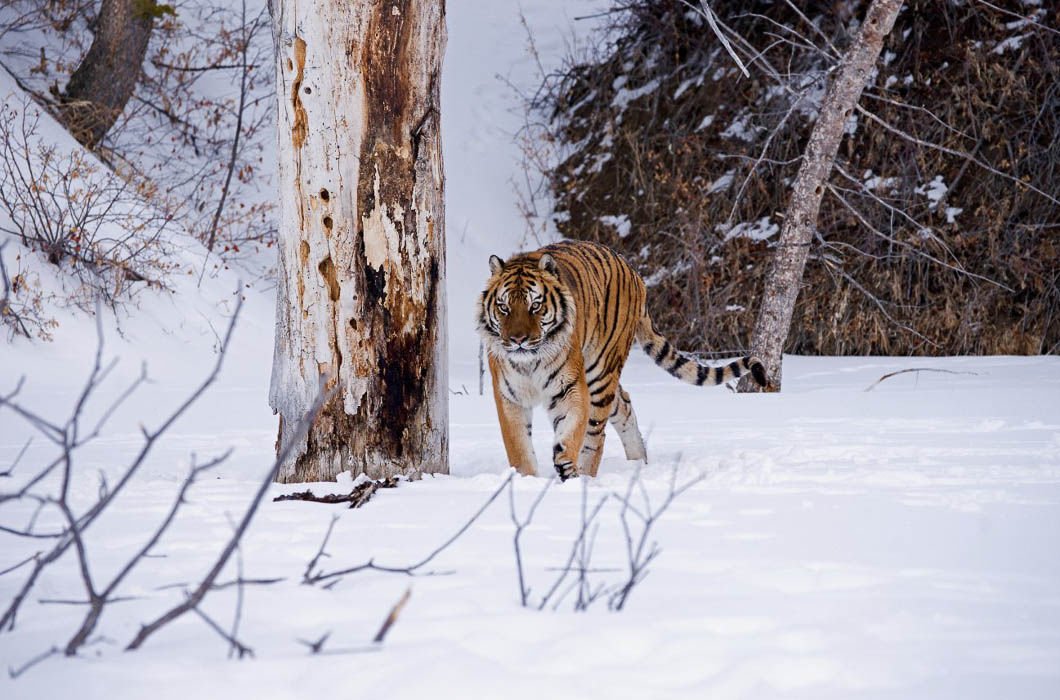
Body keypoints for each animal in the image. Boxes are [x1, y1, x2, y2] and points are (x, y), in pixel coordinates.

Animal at [476, 240, 767, 481]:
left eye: (535, 306)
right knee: (624, 404)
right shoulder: (509, 395)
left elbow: (572, 429)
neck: (530, 362)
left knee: (596, 433)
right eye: (504, 307)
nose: (518, 340)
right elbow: (518, 448)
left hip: (600, 373)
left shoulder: (570, 388)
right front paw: (525, 481)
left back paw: (586, 477)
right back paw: (638, 462)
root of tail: (632, 270)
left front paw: (564, 461)